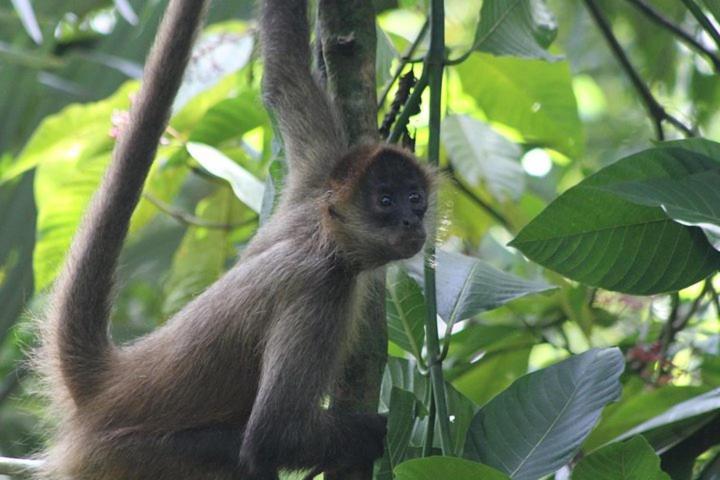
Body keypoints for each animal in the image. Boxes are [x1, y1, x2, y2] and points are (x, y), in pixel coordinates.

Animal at [36, 0, 434, 478]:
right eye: (386, 201)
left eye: (414, 197)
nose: (411, 222)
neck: (322, 235)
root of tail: (113, 380)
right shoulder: (320, 289)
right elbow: (271, 436)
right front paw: (377, 432)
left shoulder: (319, 176)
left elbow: (284, 73)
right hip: (132, 457)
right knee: (241, 460)